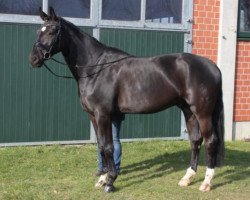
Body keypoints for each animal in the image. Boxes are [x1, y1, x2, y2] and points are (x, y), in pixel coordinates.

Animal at [29, 7, 225, 193]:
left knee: (210, 141)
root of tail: (213, 66)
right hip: (188, 110)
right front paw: (102, 179)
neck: (95, 68)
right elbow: (101, 147)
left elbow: (108, 147)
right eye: (39, 30)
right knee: (195, 141)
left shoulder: (103, 115)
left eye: (53, 31)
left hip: (202, 113)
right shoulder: (94, 116)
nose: (34, 59)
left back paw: (206, 183)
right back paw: (187, 178)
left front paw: (110, 182)